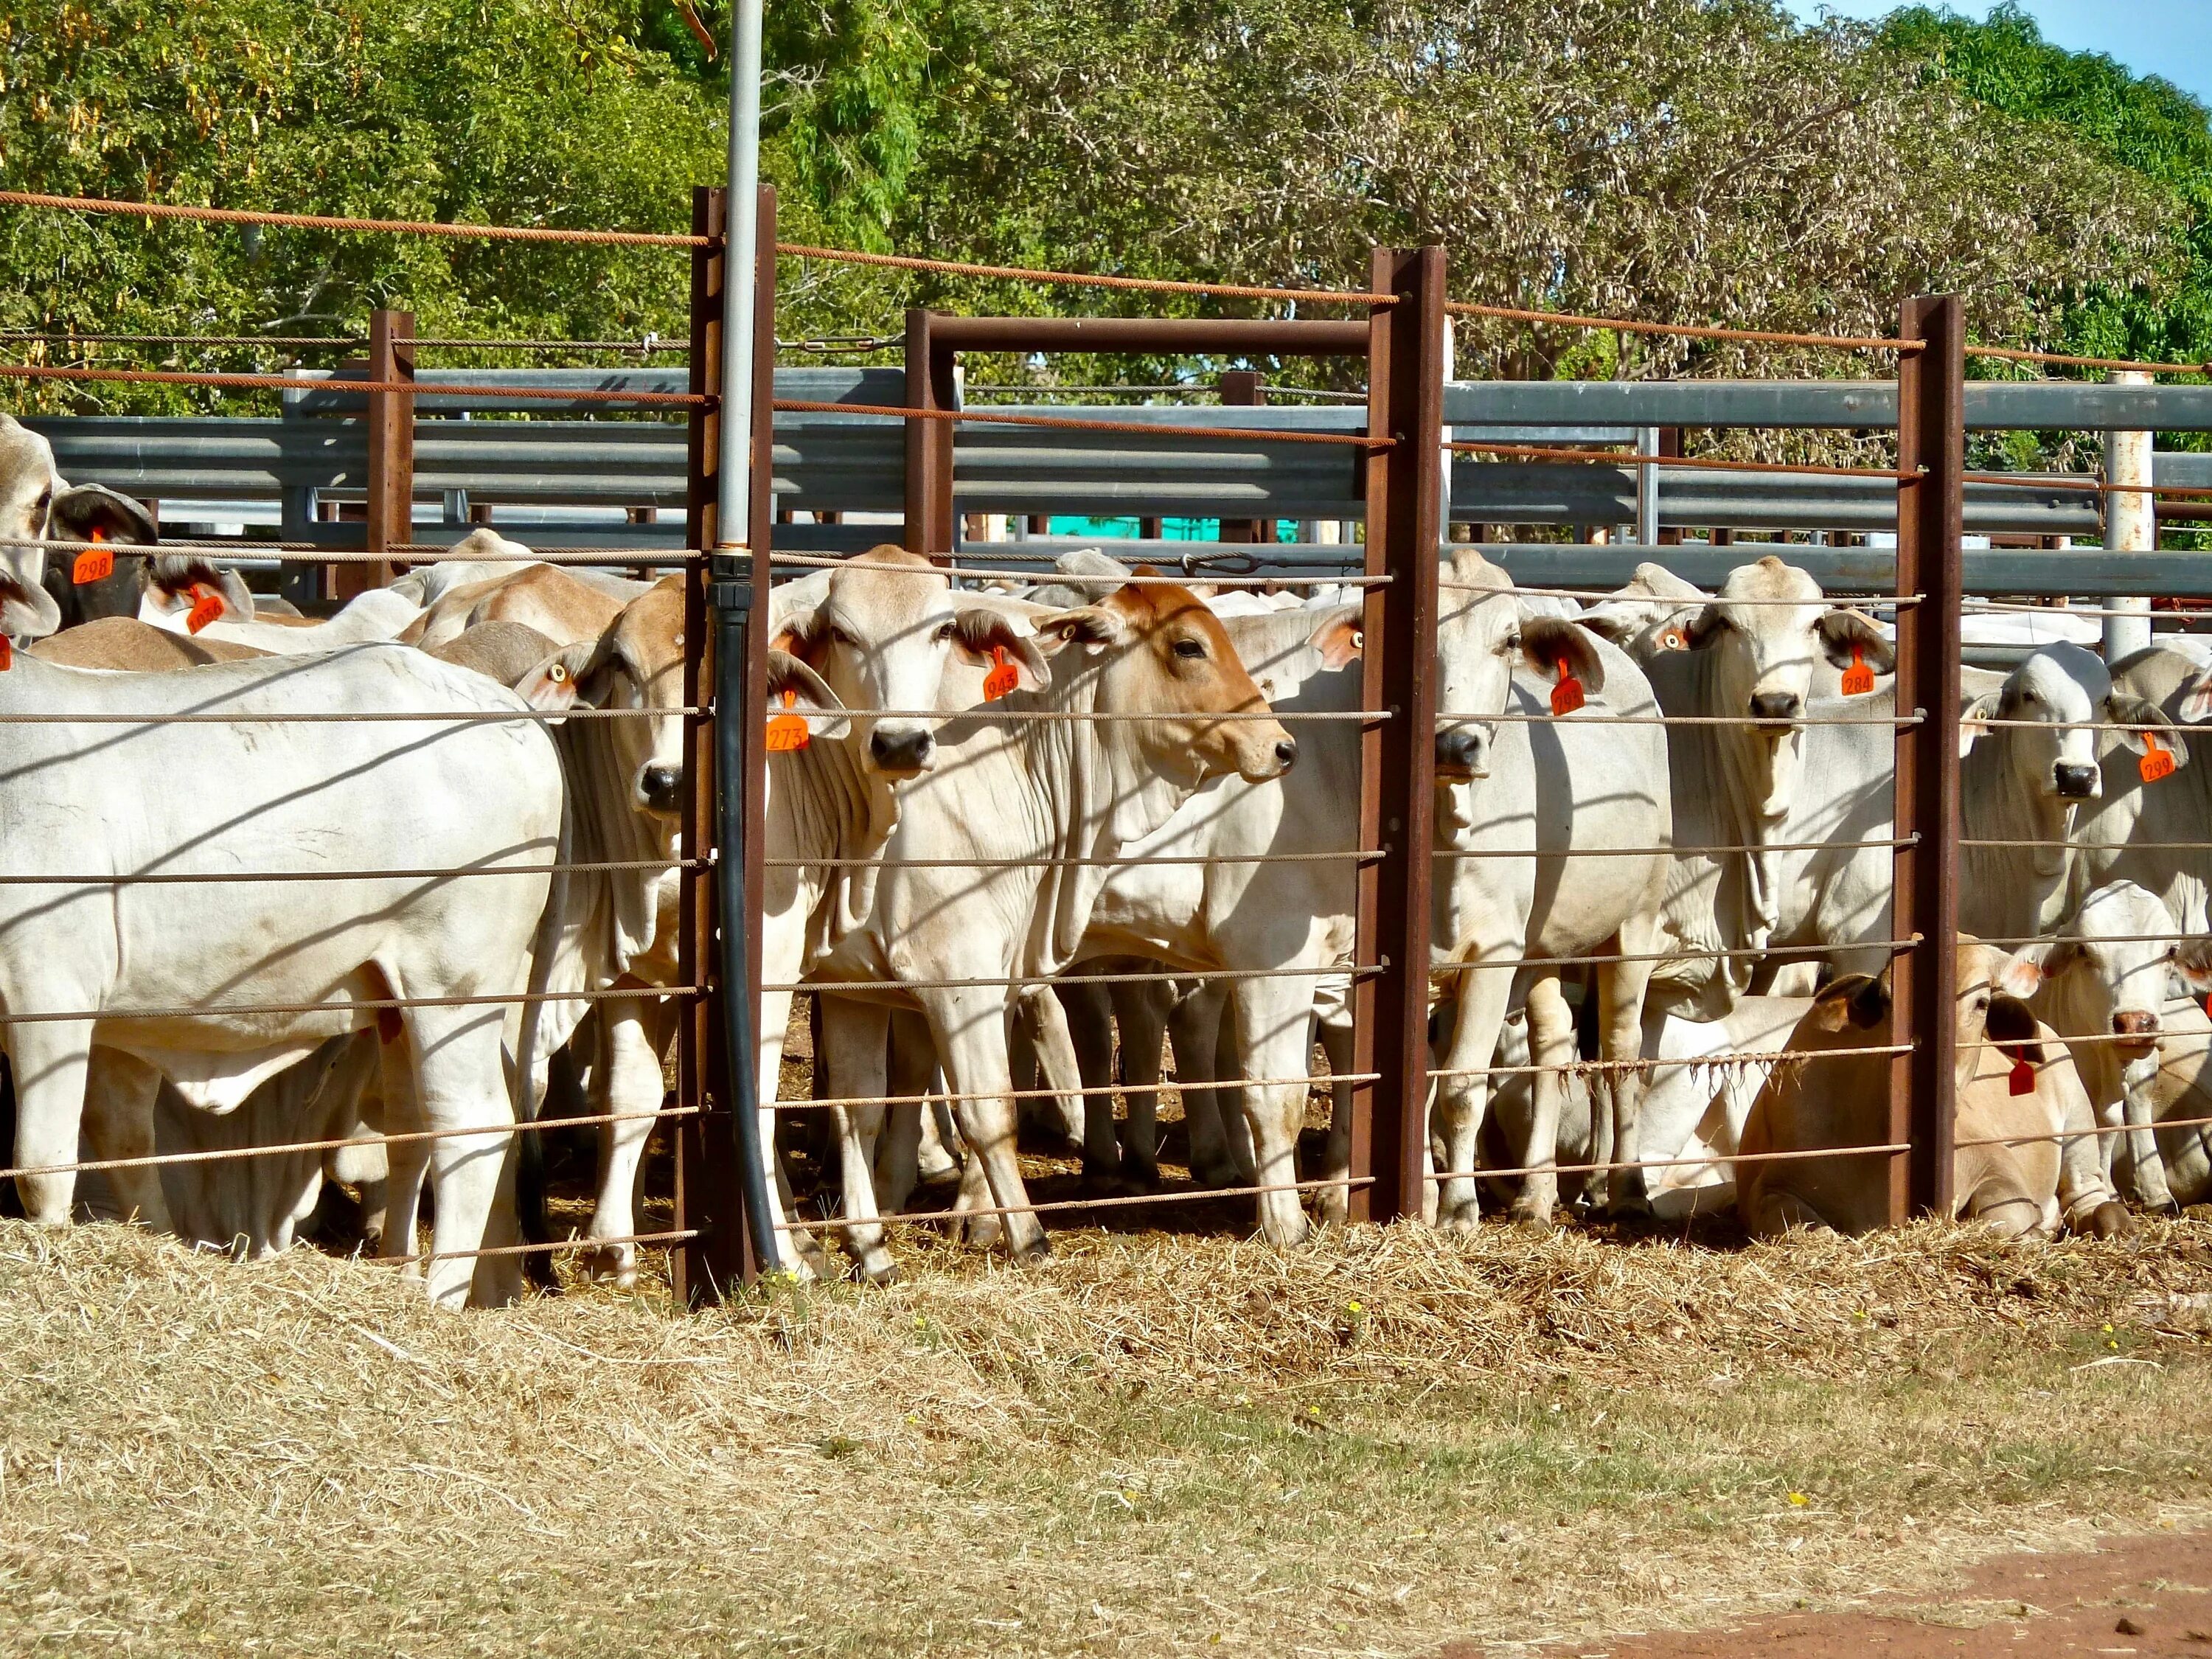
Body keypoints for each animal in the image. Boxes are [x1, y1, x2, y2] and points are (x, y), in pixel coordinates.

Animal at [0, 595, 564, 1309]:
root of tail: (508, 707)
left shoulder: (47, 991)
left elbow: (42, 1166)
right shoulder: (112, 1024)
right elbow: (124, 1146)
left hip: (455, 983)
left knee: (473, 1124)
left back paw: (437, 1299)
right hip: (397, 1001)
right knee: (412, 1129)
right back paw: (401, 1269)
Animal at [1736, 941, 2125, 1239]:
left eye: (1981, 1002)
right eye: (1888, 998)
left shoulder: (1995, 1167)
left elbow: (1998, 1219)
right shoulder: (1771, 1191)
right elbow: (1813, 1233)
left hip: (2078, 1123)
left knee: (2086, 1196)